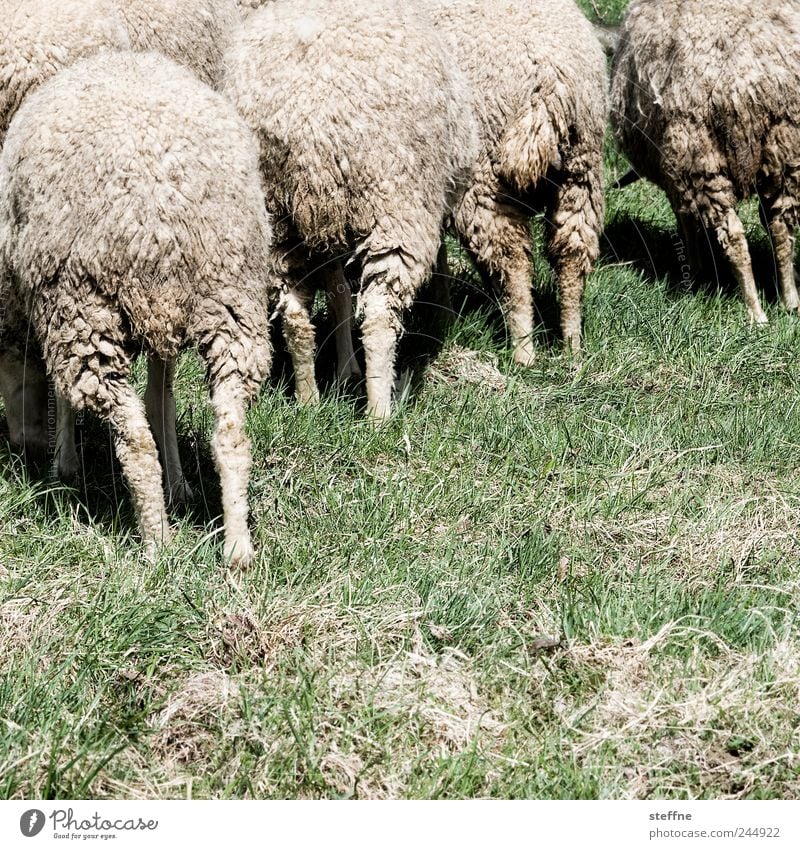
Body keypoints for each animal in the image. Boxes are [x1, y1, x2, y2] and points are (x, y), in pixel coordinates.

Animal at [0, 53, 276, 568]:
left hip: (83, 307)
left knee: (134, 438)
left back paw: (158, 545)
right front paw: (181, 485)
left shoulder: (47, 300)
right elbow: (161, 398)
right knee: (230, 429)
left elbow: (70, 393)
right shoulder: (164, 323)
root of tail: (159, 212)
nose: (21, 446)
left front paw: (63, 462)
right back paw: (237, 548)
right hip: (231, 297)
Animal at [222, 0, 478, 420]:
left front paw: (344, 369)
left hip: (276, 215)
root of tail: (305, 122)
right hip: (394, 205)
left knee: (294, 312)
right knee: (378, 316)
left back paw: (308, 398)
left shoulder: (326, 227)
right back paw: (379, 413)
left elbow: (338, 290)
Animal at [424, 0, 608, 362]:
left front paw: (442, 315)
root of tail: (547, 81)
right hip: (581, 172)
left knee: (513, 263)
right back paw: (571, 347)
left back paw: (523, 351)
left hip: (485, 181)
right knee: (572, 255)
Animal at [608, 0, 800, 324]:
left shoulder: (675, 171)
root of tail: (752, 81)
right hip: (785, 147)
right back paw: (790, 300)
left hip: (699, 154)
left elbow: (685, 219)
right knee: (780, 226)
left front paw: (695, 269)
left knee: (734, 236)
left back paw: (755, 311)